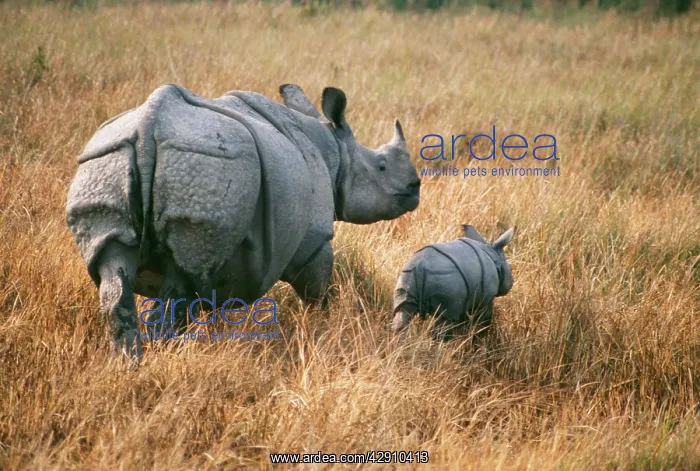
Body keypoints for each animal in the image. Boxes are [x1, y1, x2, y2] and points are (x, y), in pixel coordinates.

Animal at [66, 83, 420, 360]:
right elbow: (317, 293)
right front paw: (323, 331)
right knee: (179, 283)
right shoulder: (314, 242)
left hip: (105, 162)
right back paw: (161, 356)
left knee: (117, 272)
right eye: (381, 166)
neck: (336, 154)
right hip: (206, 166)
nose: (415, 187)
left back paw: (128, 365)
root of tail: (147, 128)